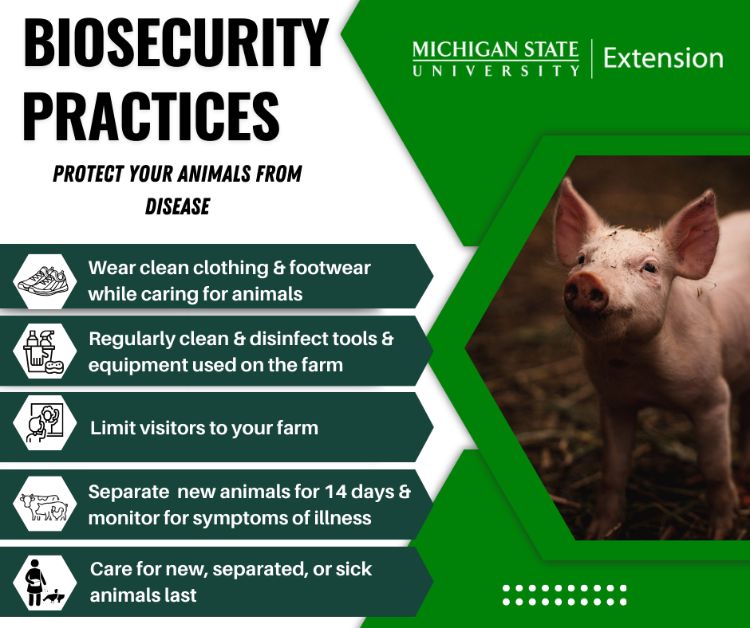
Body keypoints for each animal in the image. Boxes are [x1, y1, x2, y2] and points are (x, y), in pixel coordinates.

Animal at [554, 178, 750, 539]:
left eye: (650, 267)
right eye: (581, 258)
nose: (586, 280)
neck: (641, 371)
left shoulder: (714, 395)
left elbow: (714, 467)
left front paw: (721, 532)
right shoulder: (613, 400)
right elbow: (614, 469)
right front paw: (598, 532)